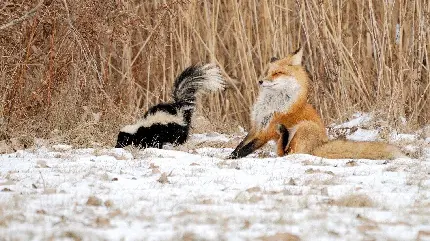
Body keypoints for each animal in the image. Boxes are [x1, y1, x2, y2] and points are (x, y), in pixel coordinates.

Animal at [230, 47, 404, 160]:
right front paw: (231, 154)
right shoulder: (257, 125)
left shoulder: (268, 130)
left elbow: (247, 148)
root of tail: (321, 144)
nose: (260, 81)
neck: (271, 103)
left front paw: (232, 158)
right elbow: (241, 144)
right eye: (267, 72)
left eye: (277, 73)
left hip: (304, 127)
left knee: (289, 153)